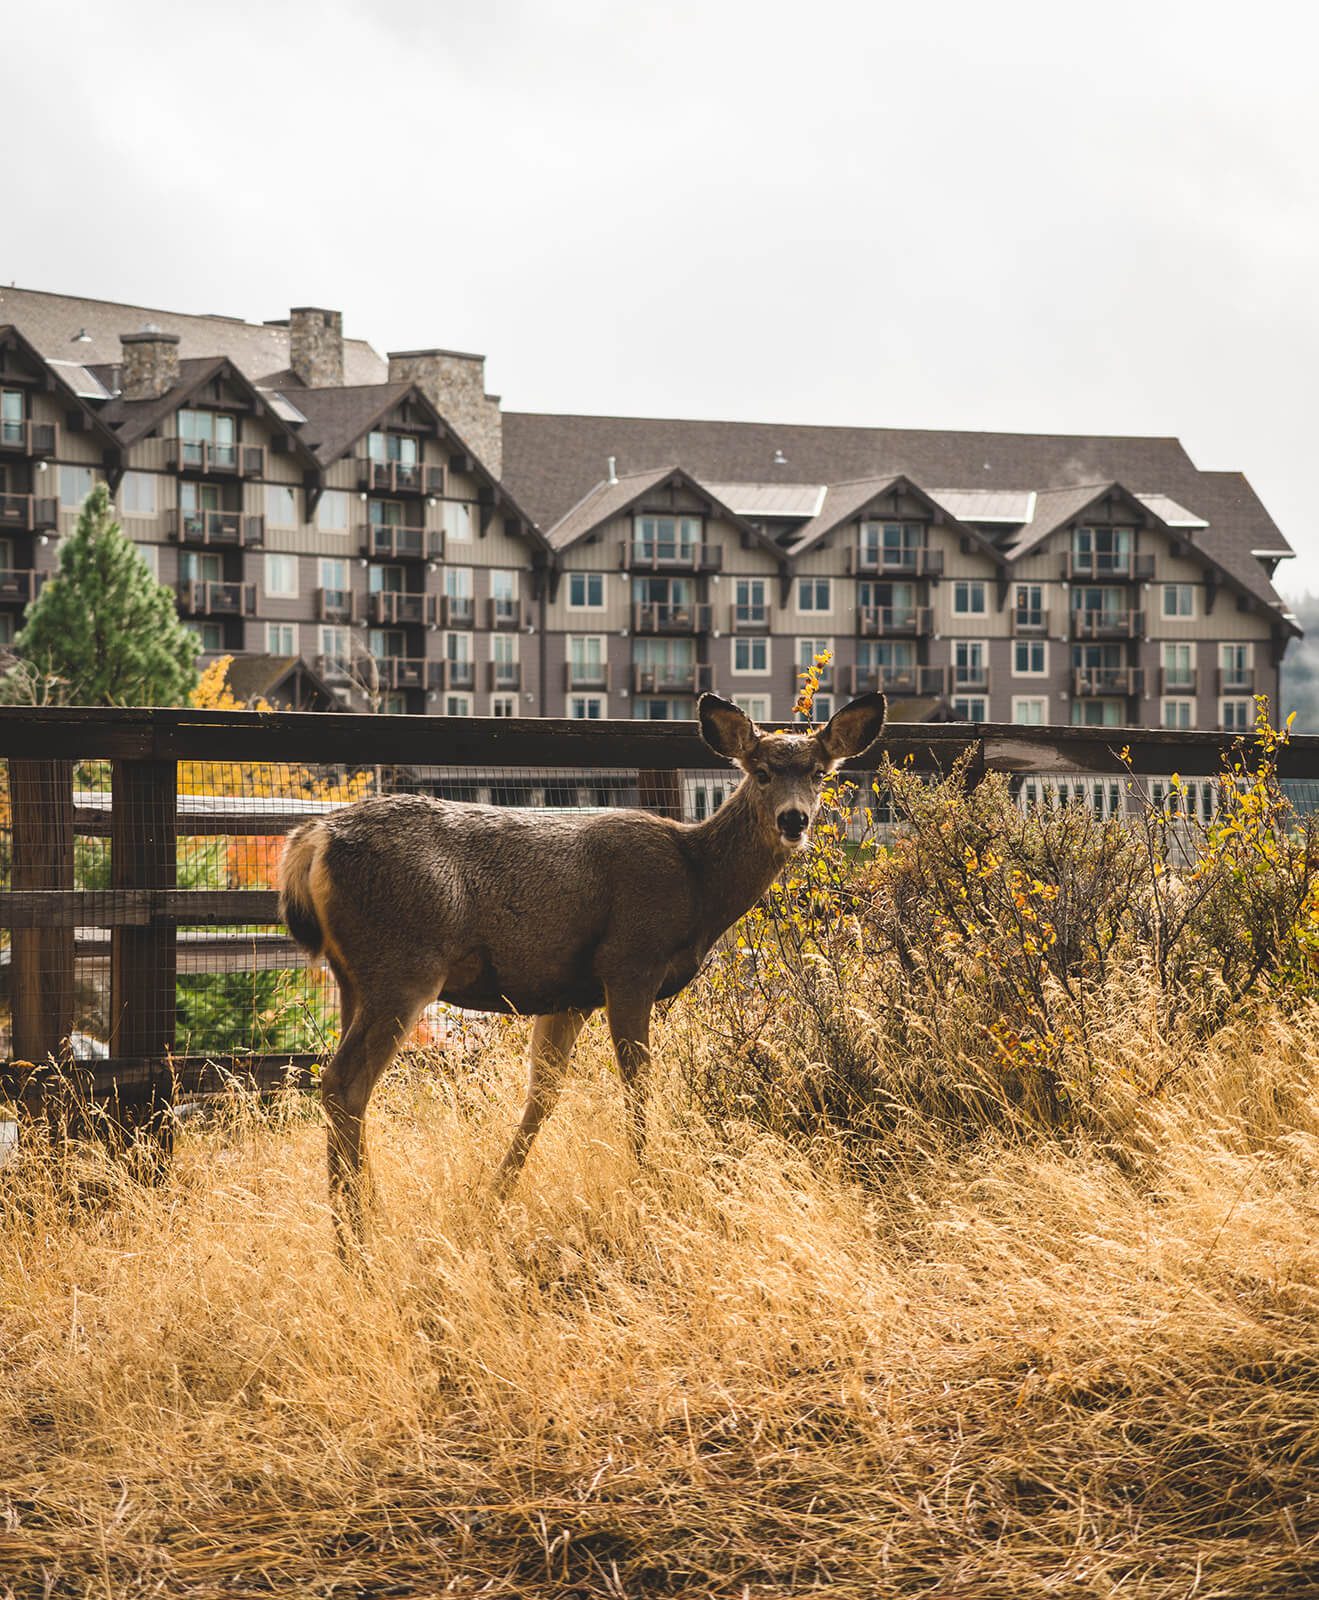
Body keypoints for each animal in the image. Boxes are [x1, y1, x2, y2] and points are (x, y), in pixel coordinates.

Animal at [277, 690, 886, 1245]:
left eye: (818, 773)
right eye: (759, 772)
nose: (794, 819)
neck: (697, 884)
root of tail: (312, 841)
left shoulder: (568, 995)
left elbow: (542, 1096)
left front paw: (492, 1200)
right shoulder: (629, 962)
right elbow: (638, 1084)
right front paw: (651, 1184)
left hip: (353, 976)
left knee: (343, 1083)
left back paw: (363, 1218)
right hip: (404, 965)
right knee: (345, 1083)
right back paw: (357, 1238)